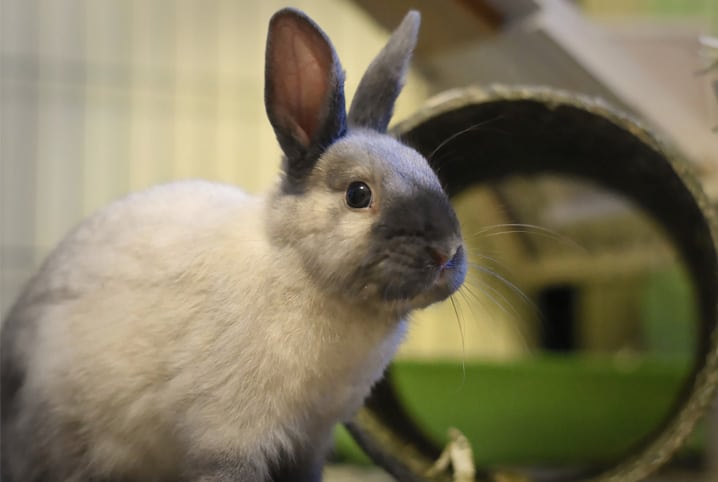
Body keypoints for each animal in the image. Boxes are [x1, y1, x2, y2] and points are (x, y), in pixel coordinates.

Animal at [0, 6, 470, 482]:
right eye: (358, 195)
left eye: (429, 171)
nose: (446, 252)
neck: (302, 272)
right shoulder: (229, 440)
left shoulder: (310, 440)